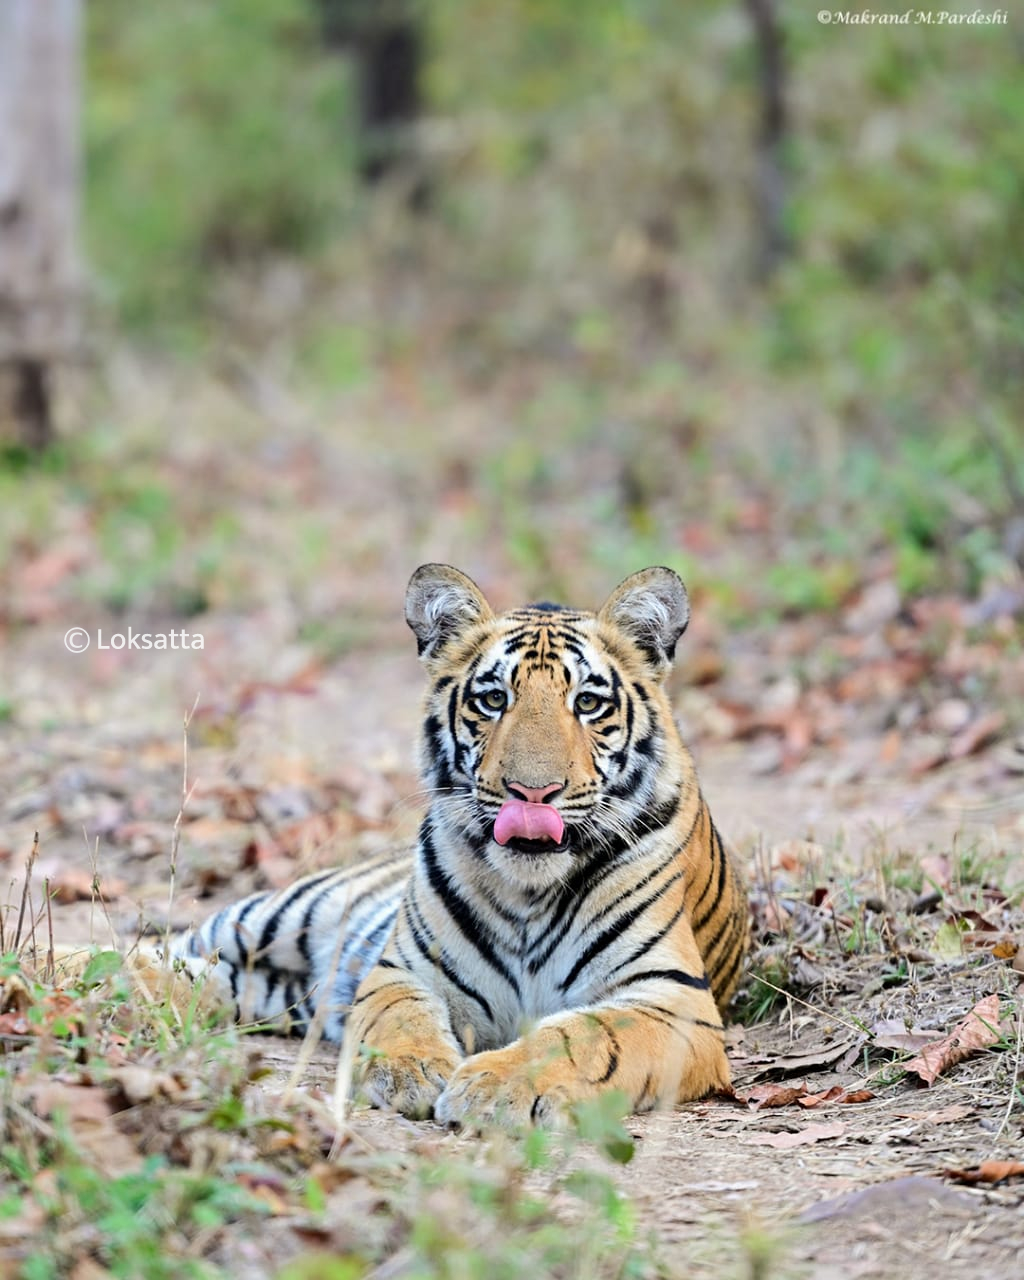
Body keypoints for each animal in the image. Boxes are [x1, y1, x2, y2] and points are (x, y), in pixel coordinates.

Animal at [167, 565, 747, 1126]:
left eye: (587, 703)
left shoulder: (673, 998)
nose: (532, 793)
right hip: (284, 914)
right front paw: (411, 1072)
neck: (529, 895)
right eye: (494, 700)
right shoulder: (402, 969)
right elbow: (398, 1015)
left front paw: (497, 1088)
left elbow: (581, 1036)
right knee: (178, 949)